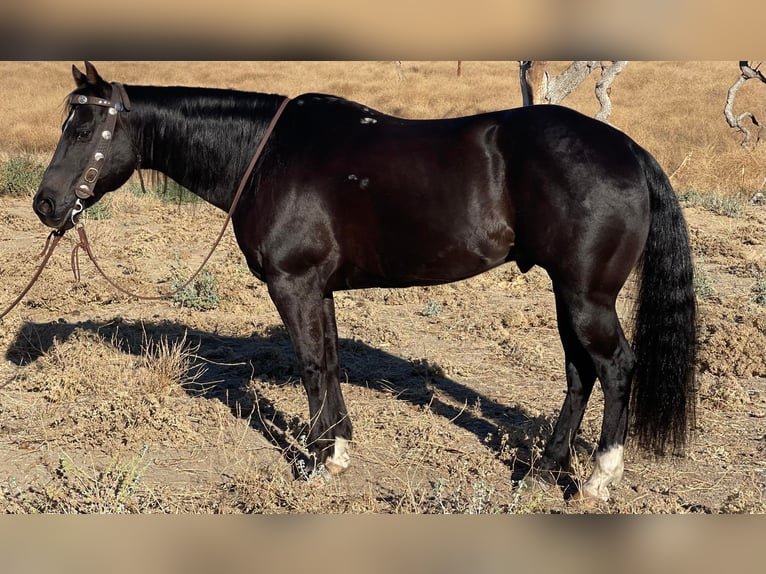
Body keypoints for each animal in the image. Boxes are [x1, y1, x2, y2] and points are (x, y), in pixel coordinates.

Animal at [33, 63, 700, 502]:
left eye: (83, 131)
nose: (46, 205)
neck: (267, 155)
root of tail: (627, 150)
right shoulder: (318, 290)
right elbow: (328, 361)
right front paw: (339, 448)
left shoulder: (294, 284)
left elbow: (311, 365)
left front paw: (318, 461)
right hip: (568, 294)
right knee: (580, 373)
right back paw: (543, 470)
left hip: (587, 297)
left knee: (614, 368)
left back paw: (595, 481)